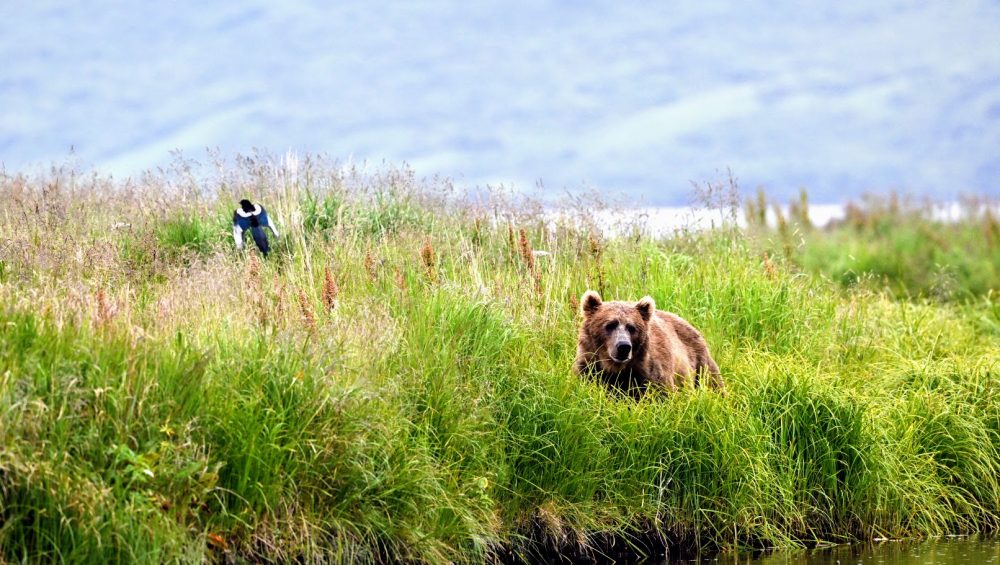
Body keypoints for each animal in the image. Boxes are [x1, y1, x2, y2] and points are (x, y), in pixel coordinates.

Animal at [573, 290, 725, 397]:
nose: (623, 347)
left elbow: (662, 394)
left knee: (712, 382)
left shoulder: (649, 372)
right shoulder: (588, 367)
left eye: (631, 327)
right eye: (610, 325)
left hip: (699, 361)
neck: (615, 369)